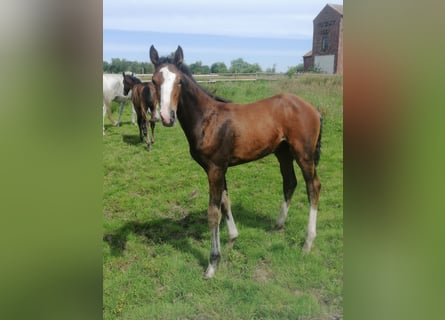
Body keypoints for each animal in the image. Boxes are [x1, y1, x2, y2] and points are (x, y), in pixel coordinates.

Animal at [150, 45, 322, 280]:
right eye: (154, 81)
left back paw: (308, 242)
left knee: (313, 186)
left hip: (303, 154)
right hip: (283, 152)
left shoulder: (215, 168)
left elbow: (213, 213)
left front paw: (212, 264)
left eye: (179, 81)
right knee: (290, 182)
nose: (167, 117)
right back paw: (278, 225)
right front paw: (232, 239)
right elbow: (225, 201)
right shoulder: (218, 168)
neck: (207, 119)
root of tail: (313, 109)